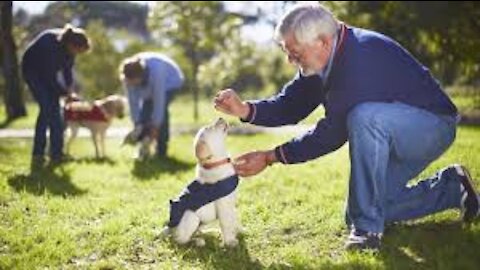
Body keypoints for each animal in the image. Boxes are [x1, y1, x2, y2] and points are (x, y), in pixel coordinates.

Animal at [163, 117, 242, 248]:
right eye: (209, 127)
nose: (220, 117)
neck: (216, 162)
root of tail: (169, 230)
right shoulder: (224, 205)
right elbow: (227, 223)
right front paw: (230, 242)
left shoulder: (231, 203)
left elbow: (234, 219)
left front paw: (239, 231)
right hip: (191, 217)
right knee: (181, 240)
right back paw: (198, 241)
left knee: (196, 232)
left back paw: (210, 232)